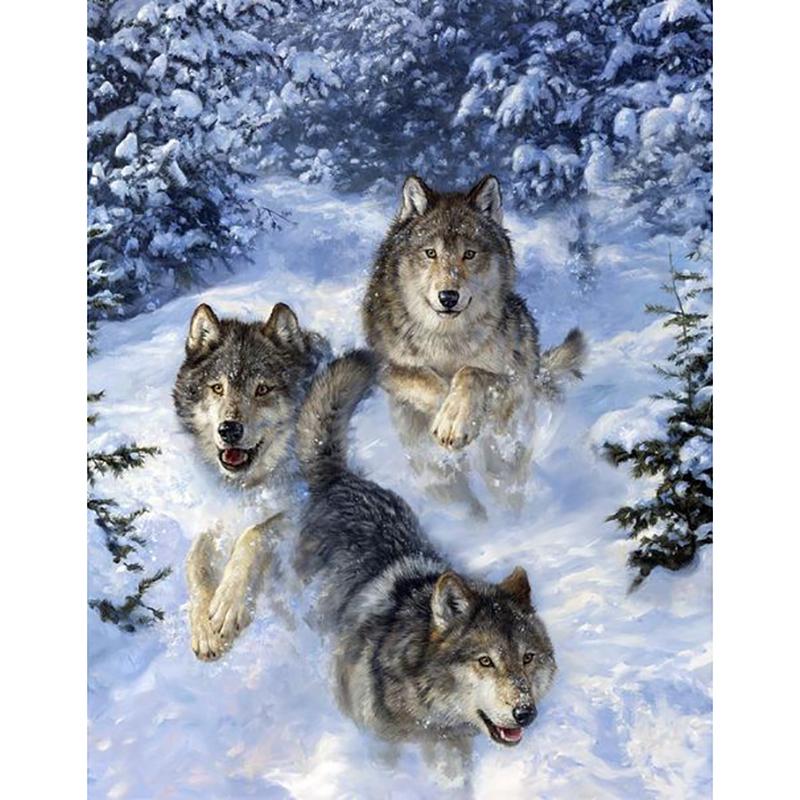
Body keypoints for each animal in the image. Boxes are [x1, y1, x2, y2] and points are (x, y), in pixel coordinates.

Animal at [173, 301, 329, 660]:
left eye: (262, 389)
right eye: (217, 388)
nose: (229, 430)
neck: (247, 486)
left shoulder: (301, 509)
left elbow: (254, 534)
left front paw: (228, 605)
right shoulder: (217, 516)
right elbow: (194, 563)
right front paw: (204, 627)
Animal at [293, 350, 557, 764]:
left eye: (528, 658)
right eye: (485, 661)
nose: (525, 713)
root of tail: (342, 479)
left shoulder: (450, 743)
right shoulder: (380, 743)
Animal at [362, 174, 587, 515]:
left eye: (469, 254)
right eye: (430, 253)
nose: (448, 296)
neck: (448, 339)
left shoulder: (515, 379)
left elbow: (470, 373)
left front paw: (455, 419)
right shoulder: (386, 368)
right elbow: (427, 379)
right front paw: (448, 414)